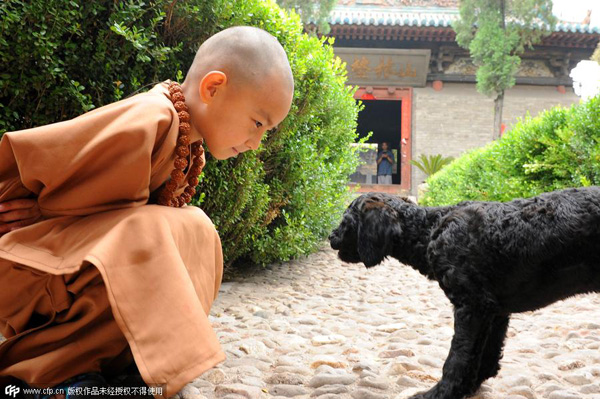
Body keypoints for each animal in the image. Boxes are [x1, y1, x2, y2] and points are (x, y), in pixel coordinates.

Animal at [328, 188, 600, 399]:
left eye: (345, 219)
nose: (330, 236)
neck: (430, 230)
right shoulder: (494, 312)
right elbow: (485, 354)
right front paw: (470, 387)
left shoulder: (472, 307)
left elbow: (458, 357)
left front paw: (441, 392)